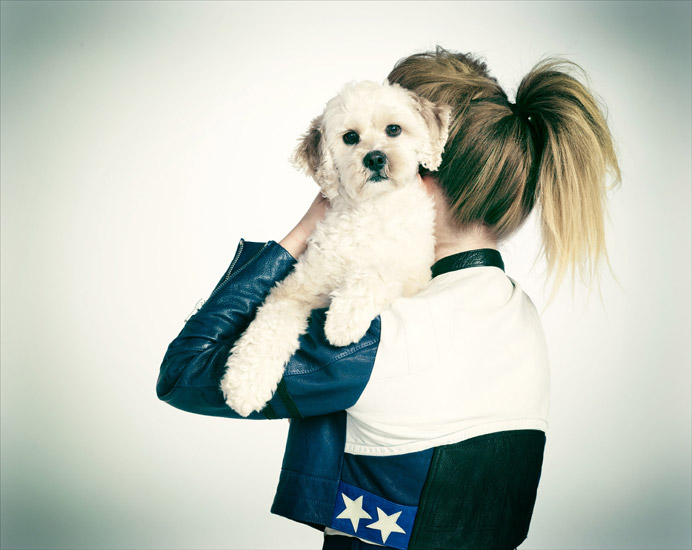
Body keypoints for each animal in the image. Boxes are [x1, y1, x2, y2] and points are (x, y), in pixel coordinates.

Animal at [221, 80, 450, 417]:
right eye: (350, 137)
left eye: (394, 129)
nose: (375, 158)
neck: (369, 212)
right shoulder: (297, 289)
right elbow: (270, 324)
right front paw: (245, 383)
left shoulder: (415, 275)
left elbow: (377, 273)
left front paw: (344, 319)